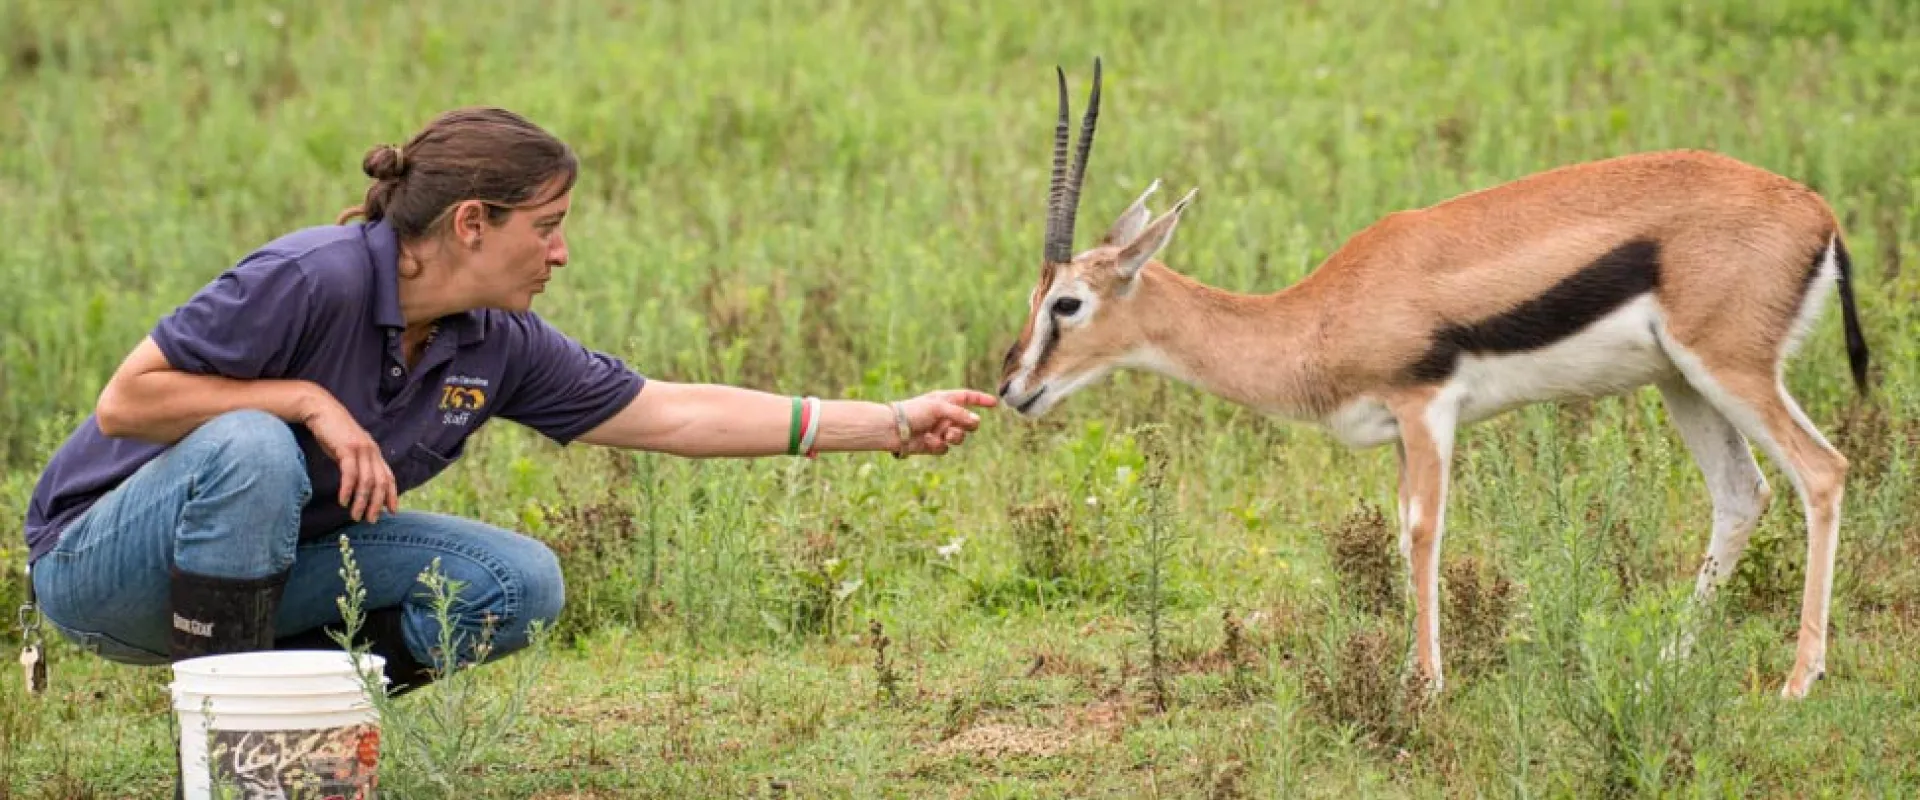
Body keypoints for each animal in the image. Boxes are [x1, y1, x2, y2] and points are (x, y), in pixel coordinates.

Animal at [997, 59, 1872, 699]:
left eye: (1068, 303)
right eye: (1035, 297)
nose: (1012, 388)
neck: (1320, 314)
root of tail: (1819, 212)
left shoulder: (1427, 409)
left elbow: (1423, 532)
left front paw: (1423, 684)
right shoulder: (1395, 432)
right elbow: (1398, 529)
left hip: (1731, 370)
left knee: (1823, 472)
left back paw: (1799, 681)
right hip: (1682, 383)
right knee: (1742, 494)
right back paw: (1670, 661)